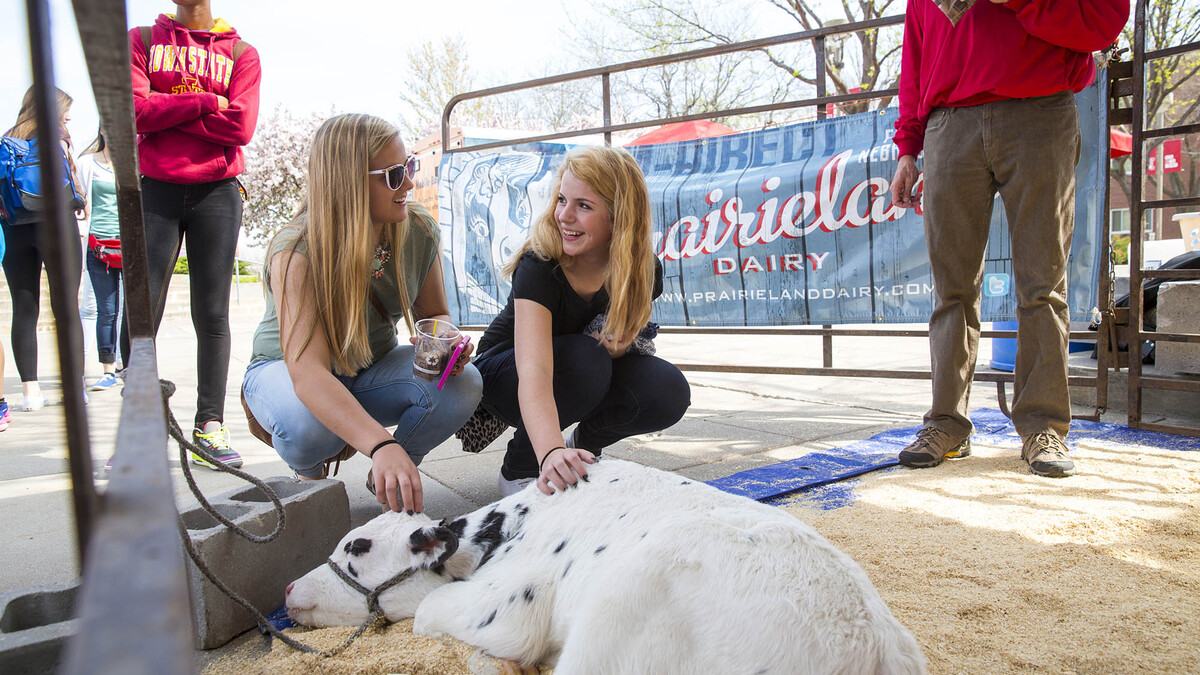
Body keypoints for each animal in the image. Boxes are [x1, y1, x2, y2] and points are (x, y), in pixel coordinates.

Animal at [285, 454, 921, 667]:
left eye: (357, 548)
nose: (288, 591)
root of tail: (870, 643)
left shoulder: (513, 607)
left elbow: (427, 612)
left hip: (618, 613)